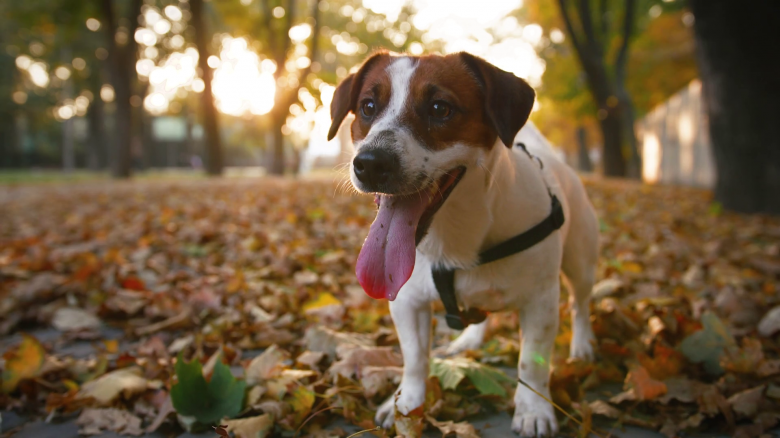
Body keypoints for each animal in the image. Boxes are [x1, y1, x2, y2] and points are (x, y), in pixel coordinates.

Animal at [326, 52, 600, 438]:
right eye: (367, 106)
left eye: (440, 108)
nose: (370, 163)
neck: (453, 238)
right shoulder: (407, 302)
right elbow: (414, 359)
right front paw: (407, 405)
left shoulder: (541, 301)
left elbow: (531, 363)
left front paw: (533, 409)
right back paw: (470, 339)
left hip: (580, 262)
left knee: (580, 304)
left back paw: (582, 344)